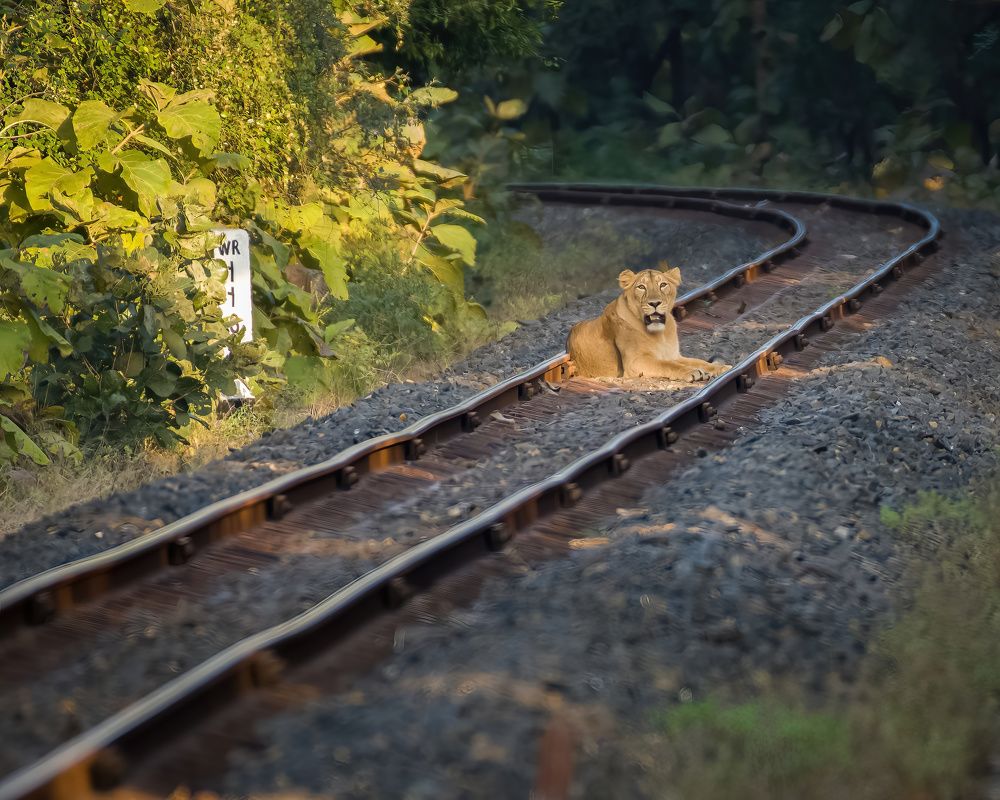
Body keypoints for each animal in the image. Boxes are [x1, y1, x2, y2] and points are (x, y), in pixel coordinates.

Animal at [567, 265, 731, 381]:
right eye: (641, 287)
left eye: (663, 285)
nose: (655, 303)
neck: (660, 334)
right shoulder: (635, 362)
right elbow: (668, 365)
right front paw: (692, 372)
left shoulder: (674, 355)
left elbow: (699, 362)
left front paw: (721, 367)